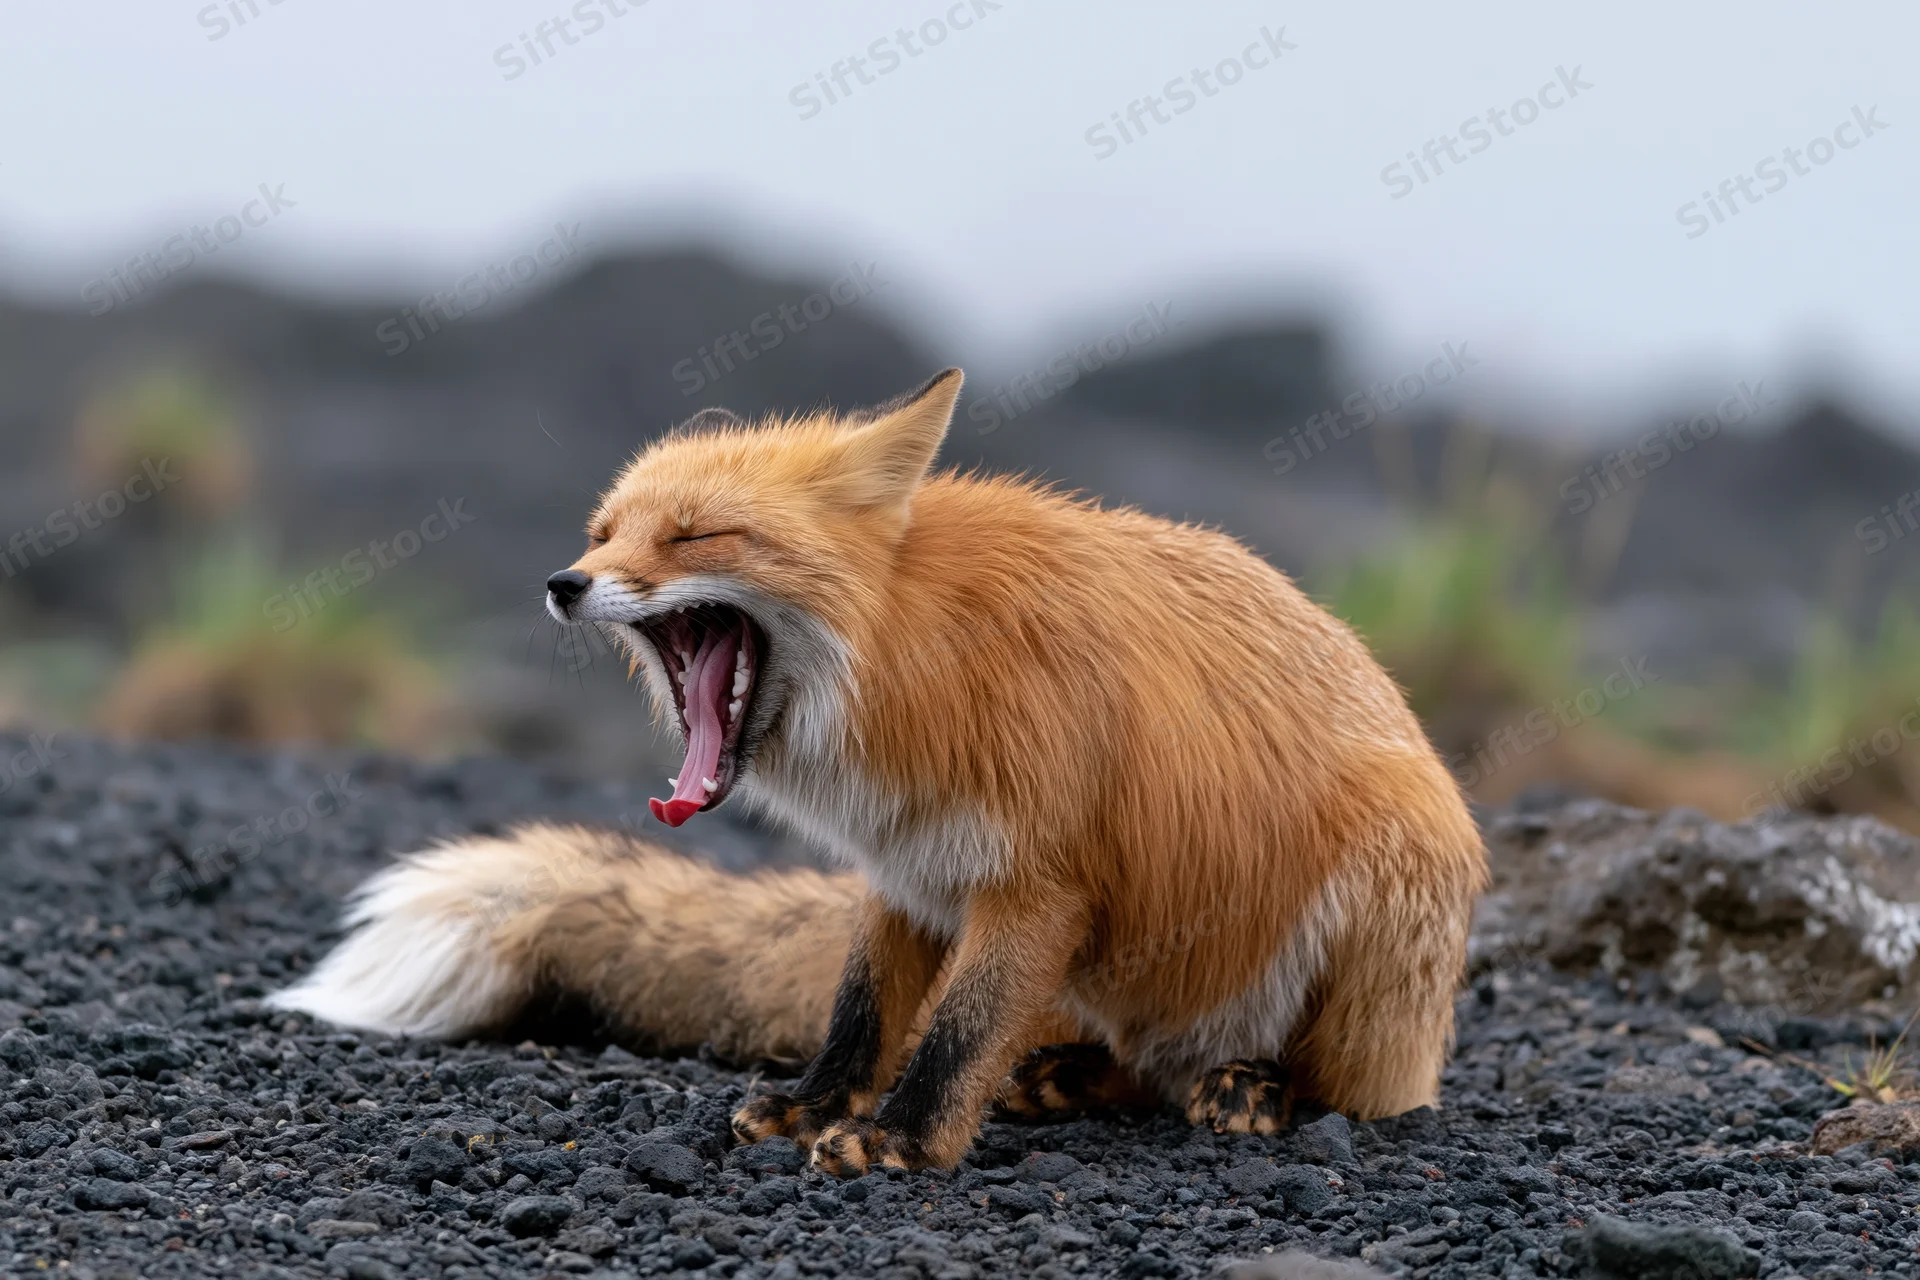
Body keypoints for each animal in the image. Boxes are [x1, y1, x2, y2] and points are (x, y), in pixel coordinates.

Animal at [270, 368, 1486, 1175]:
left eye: (695, 536)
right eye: (606, 532)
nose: (566, 583)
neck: (907, 662)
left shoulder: (1037, 885)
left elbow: (955, 1034)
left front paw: (898, 1139)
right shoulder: (908, 871)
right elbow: (862, 1011)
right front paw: (817, 1107)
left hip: (1381, 901)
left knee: (1354, 1091)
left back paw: (1261, 1088)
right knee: (1133, 1060)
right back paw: (1080, 1075)